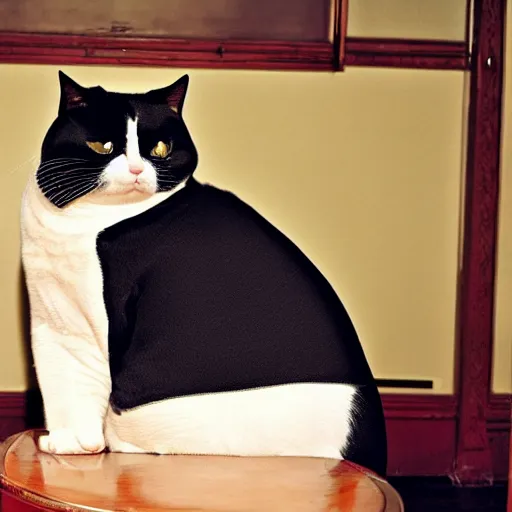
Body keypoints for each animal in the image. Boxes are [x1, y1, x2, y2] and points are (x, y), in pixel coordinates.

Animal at [21, 71, 388, 476]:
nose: (136, 170)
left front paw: (80, 444)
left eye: (160, 149)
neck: (81, 222)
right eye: (103, 145)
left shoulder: (96, 324)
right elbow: (61, 382)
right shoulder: (52, 316)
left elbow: (86, 382)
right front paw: (68, 443)